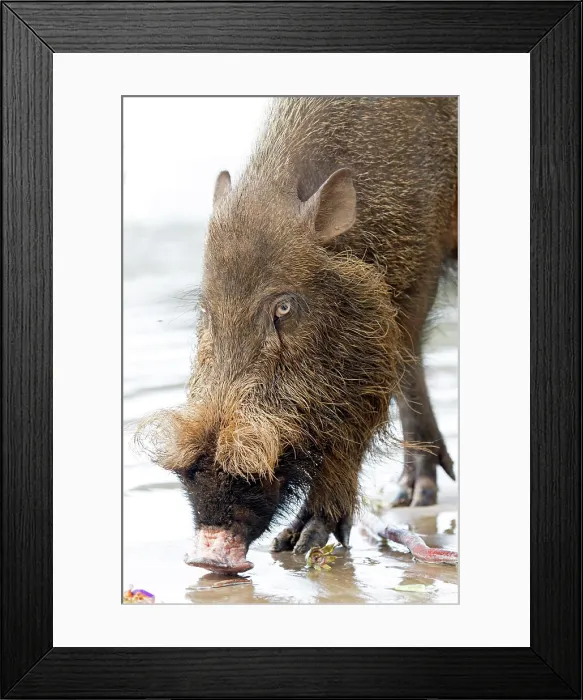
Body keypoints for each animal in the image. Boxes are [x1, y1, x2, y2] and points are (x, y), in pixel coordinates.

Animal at [137, 97, 457, 574]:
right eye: (206, 311)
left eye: (284, 308)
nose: (206, 555)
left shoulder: (416, 282)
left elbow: (381, 391)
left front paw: (303, 542)